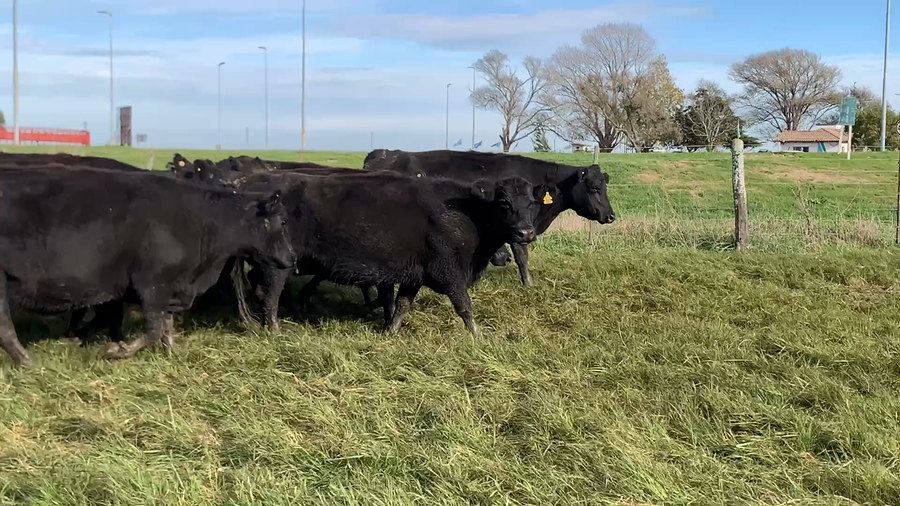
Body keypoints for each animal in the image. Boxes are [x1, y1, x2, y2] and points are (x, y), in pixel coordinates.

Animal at [0, 166, 295, 367]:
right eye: (282, 222)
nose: (292, 258)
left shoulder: (172, 286)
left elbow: (166, 325)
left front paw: (172, 353)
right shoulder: (153, 284)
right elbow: (153, 329)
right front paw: (117, 352)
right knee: (6, 329)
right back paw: (28, 362)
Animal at [242, 171, 536, 335]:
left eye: (531, 202)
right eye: (503, 202)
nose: (526, 233)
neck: (467, 213)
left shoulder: (415, 275)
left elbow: (402, 304)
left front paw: (391, 331)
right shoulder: (449, 271)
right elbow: (464, 306)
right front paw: (478, 336)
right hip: (277, 266)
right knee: (270, 295)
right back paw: (275, 329)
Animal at [363, 149, 615, 286]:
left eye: (605, 186)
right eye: (594, 188)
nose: (611, 216)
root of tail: (383, 153)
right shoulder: (519, 228)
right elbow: (522, 257)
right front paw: (528, 284)